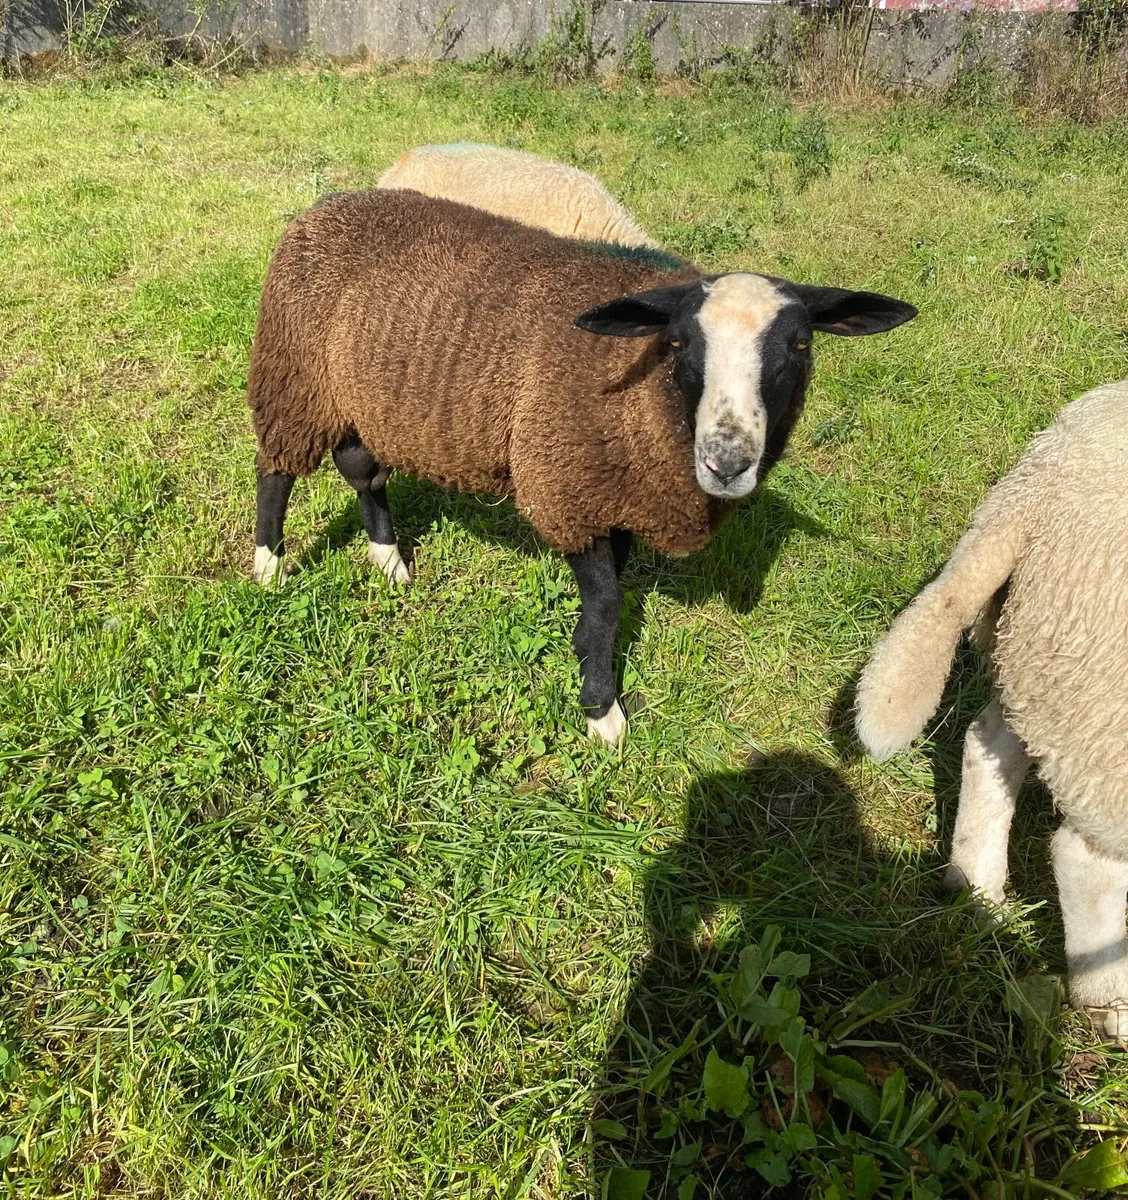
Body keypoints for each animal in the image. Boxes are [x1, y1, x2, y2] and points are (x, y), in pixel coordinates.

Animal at [248, 188, 916, 744]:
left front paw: (583, 656)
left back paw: (388, 560)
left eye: (800, 344)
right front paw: (602, 712)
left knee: (363, 468)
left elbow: (610, 592)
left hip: (356, 398)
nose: (727, 463)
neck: (636, 391)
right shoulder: (568, 486)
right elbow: (607, 602)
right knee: (276, 472)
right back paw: (268, 568)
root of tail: (331, 202)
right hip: (293, 376)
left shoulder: (618, 493)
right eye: (679, 342)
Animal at [854, 380, 1128, 1040]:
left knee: (989, 741)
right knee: (1085, 858)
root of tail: (1038, 486)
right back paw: (1112, 1002)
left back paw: (977, 890)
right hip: (1102, 701)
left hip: (1048, 658)